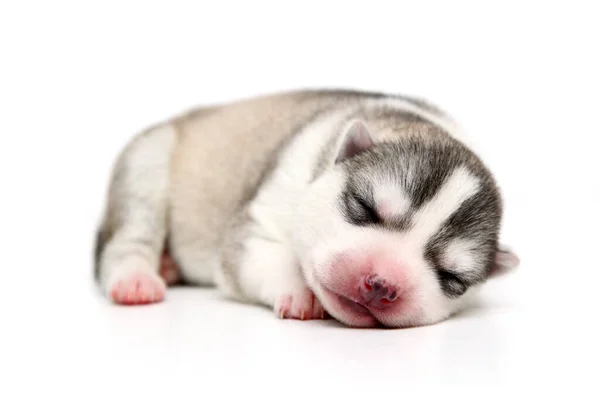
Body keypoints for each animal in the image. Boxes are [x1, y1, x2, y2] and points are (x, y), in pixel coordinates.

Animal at [94, 90, 520, 328]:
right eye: (363, 207)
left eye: (451, 277)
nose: (381, 284)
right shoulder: (256, 225)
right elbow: (269, 255)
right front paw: (302, 294)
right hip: (146, 165)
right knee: (129, 237)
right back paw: (136, 279)